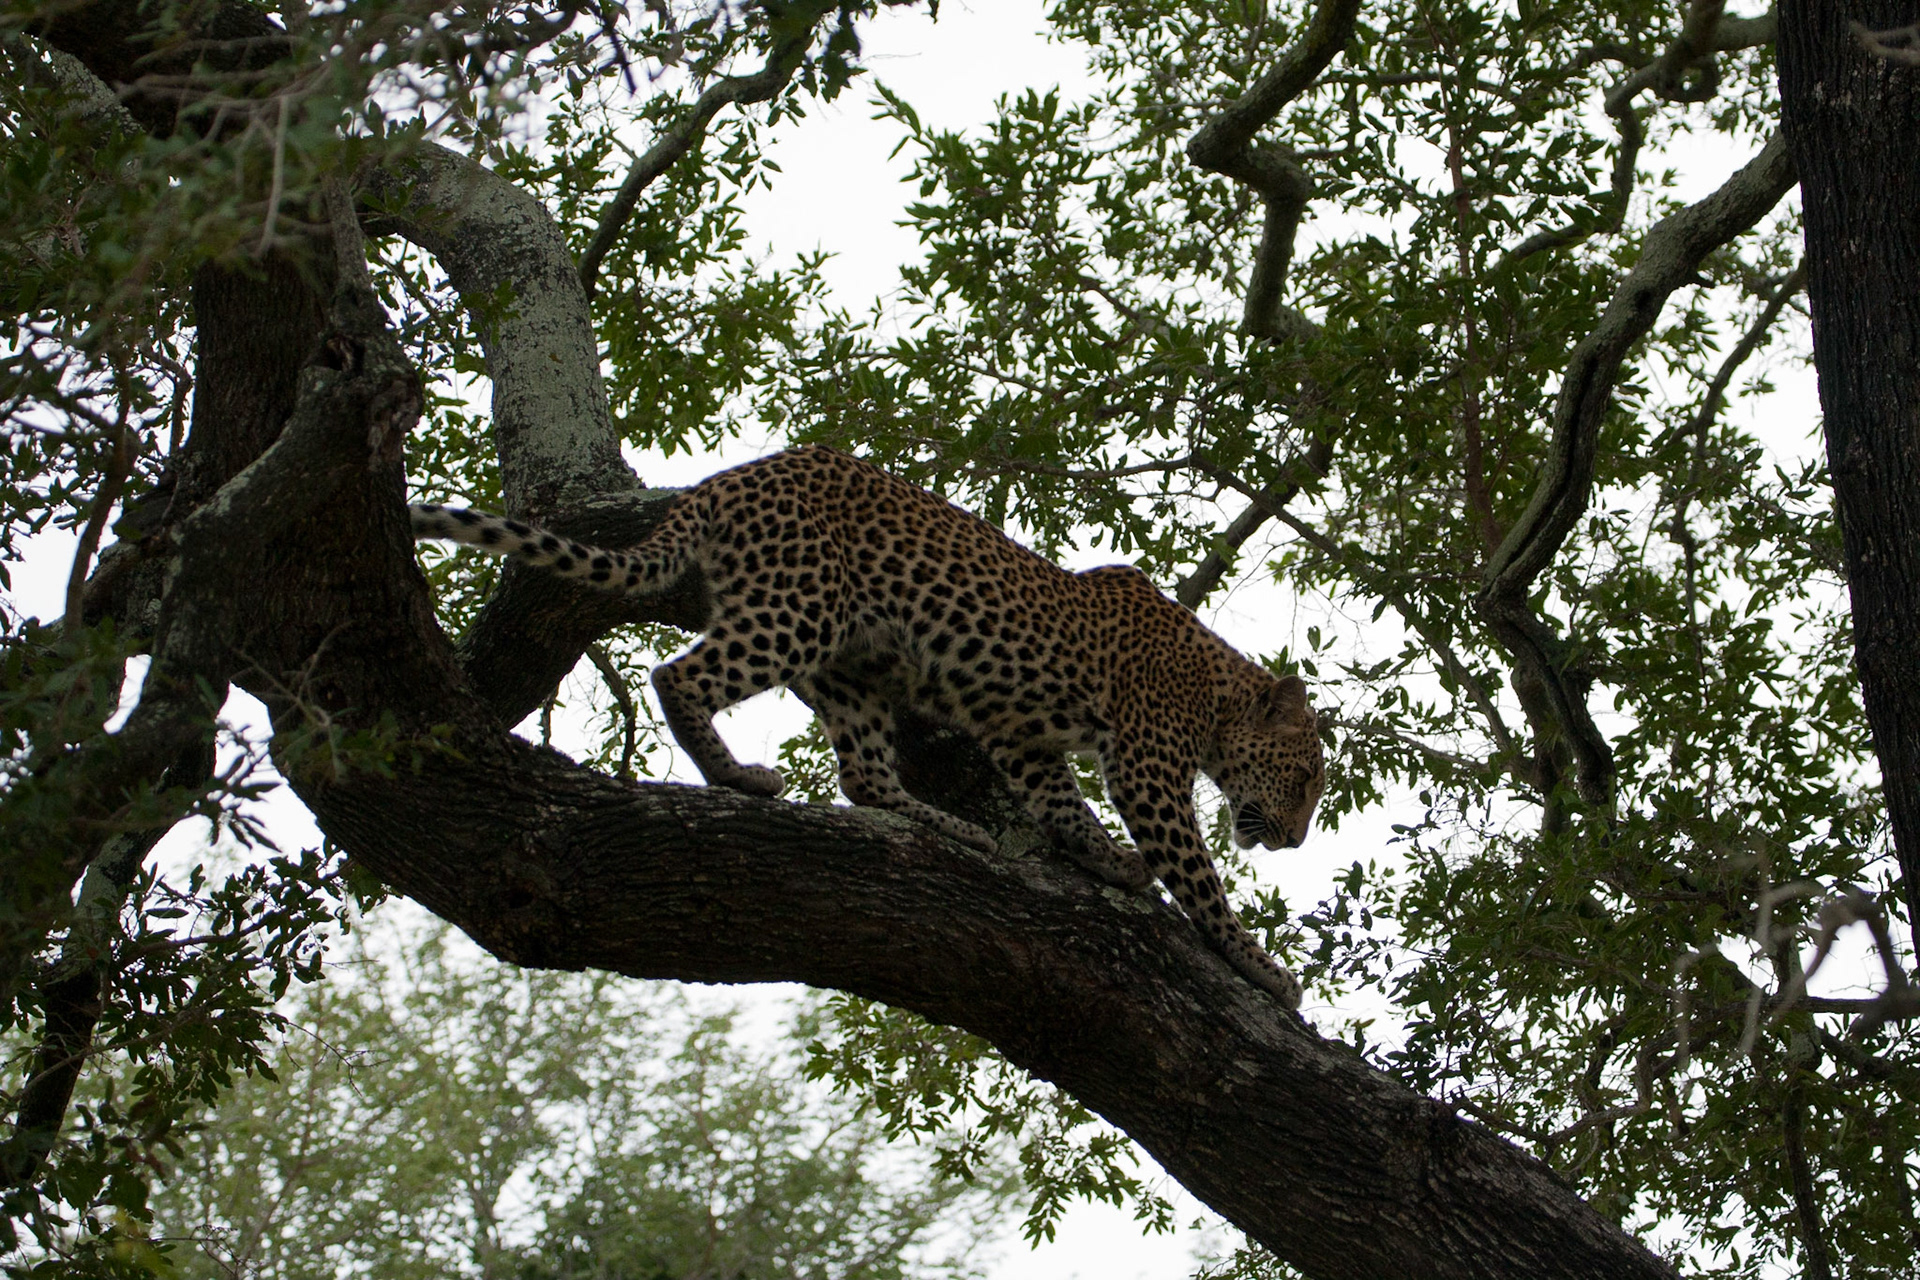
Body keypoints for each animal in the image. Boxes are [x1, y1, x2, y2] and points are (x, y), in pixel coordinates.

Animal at [411, 446, 1325, 1008]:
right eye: (1309, 776)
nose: (1296, 840)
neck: (1218, 691)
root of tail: (729, 479)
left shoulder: (1023, 737)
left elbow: (1062, 805)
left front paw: (1108, 862)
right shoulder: (1145, 766)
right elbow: (1200, 877)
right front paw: (1260, 968)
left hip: (847, 665)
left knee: (864, 775)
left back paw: (945, 824)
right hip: (796, 610)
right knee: (679, 676)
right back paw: (737, 777)